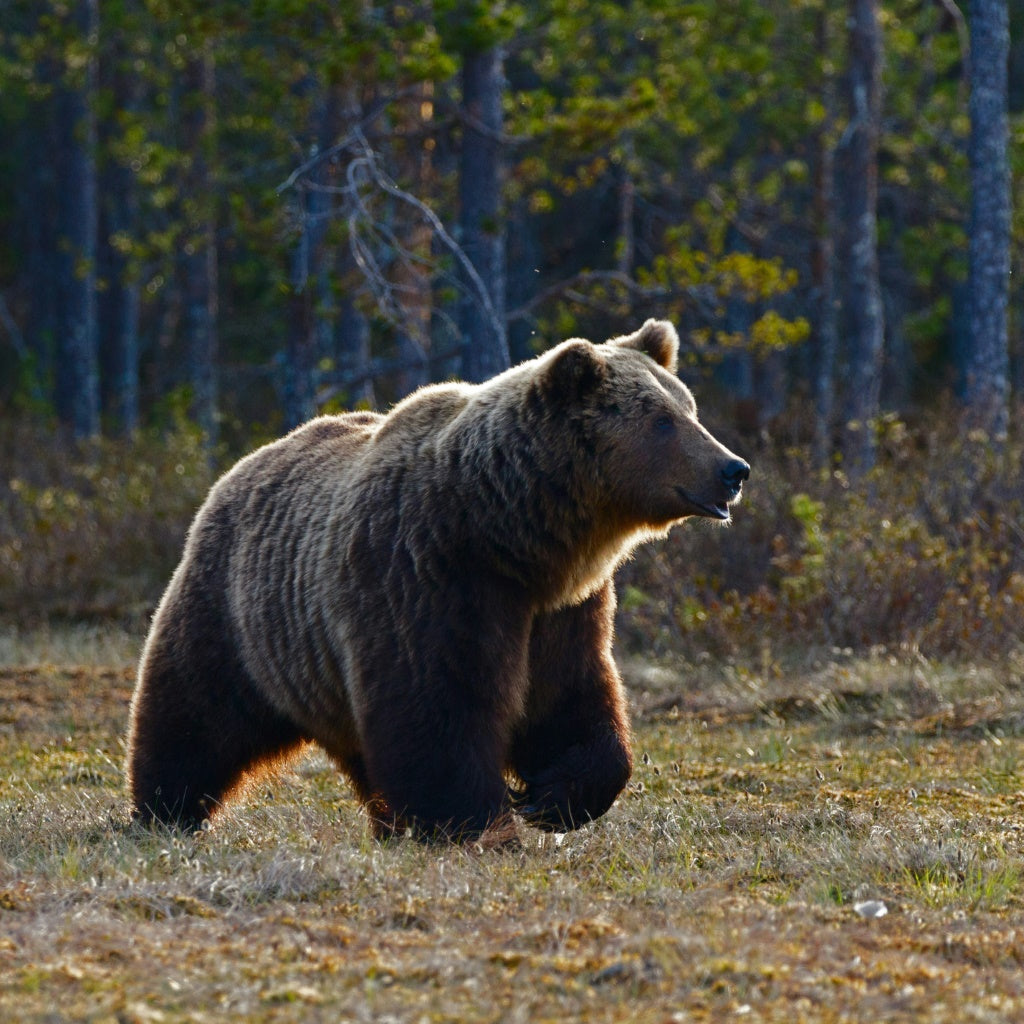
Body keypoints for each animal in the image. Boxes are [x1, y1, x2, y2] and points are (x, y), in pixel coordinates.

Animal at [128, 319, 749, 839]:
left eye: (690, 408)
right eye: (662, 420)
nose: (733, 468)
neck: (510, 535)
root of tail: (242, 465)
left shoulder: (562, 609)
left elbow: (571, 697)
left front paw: (552, 797)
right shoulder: (427, 576)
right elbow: (437, 709)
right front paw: (479, 822)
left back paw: (388, 823)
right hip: (238, 614)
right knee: (193, 713)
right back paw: (163, 811)